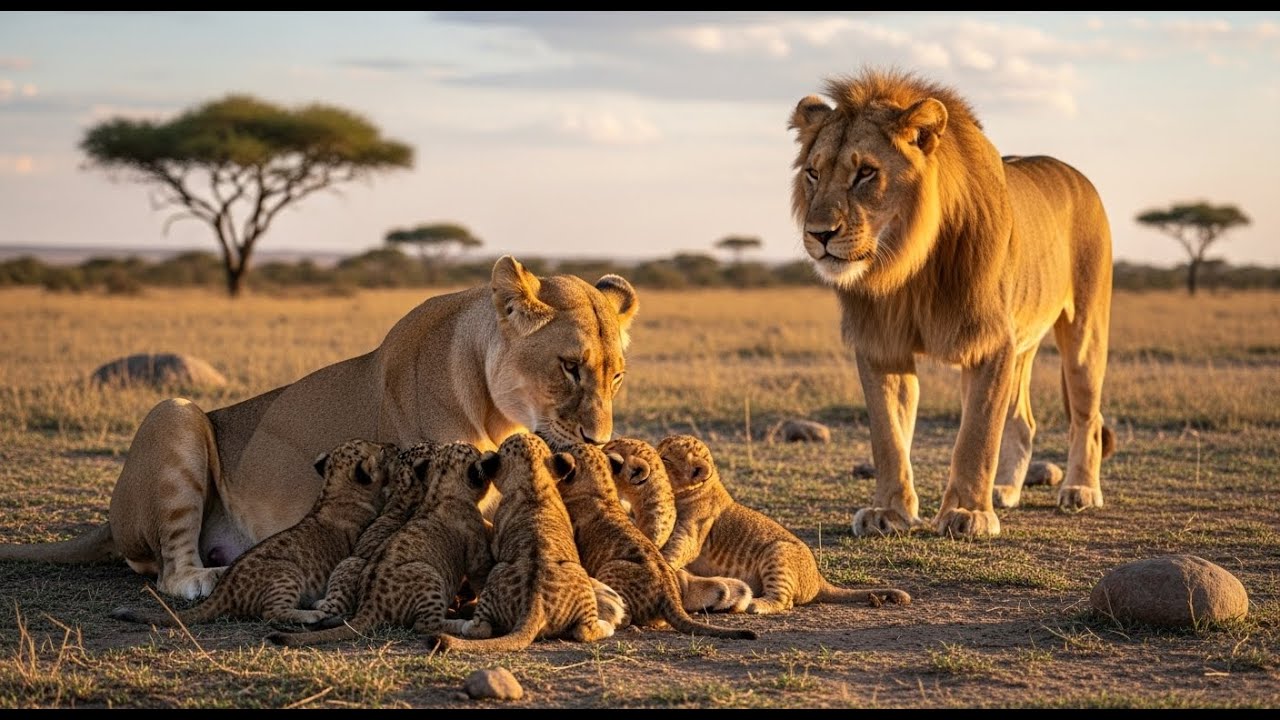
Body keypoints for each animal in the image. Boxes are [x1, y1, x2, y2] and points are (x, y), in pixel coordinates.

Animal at [0, 256, 638, 598]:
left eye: (617, 376)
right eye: (569, 366)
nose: (599, 442)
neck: (498, 413)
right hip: (174, 410)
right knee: (166, 568)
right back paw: (208, 576)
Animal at [787, 67, 1115, 539]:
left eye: (866, 172)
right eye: (813, 173)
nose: (819, 234)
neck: (906, 264)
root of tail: (1074, 173)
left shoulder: (991, 342)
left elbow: (977, 436)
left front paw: (967, 513)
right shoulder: (881, 344)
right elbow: (888, 436)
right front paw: (888, 512)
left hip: (1085, 329)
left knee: (1087, 417)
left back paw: (1080, 490)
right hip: (1022, 343)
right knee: (1022, 420)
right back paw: (1005, 490)